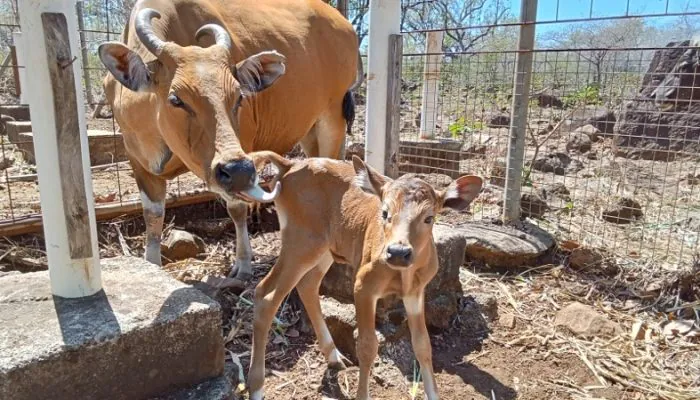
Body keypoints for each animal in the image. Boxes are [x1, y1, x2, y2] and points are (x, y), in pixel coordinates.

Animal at [97, 0, 360, 282]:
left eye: (239, 96)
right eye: (176, 99)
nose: (237, 170)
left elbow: (236, 208)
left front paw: (243, 264)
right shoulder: (138, 162)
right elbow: (153, 215)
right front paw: (152, 266)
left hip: (332, 118)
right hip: (310, 129)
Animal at [245, 152, 482, 398]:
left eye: (429, 218)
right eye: (385, 213)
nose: (398, 252)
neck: (402, 275)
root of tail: (289, 165)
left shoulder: (416, 291)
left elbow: (423, 345)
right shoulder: (363, 285)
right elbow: (367, 346)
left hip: (325, 247)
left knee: (307, 285)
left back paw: (334, 357)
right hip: (300, 240)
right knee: (265, 294)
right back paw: (256, 387)